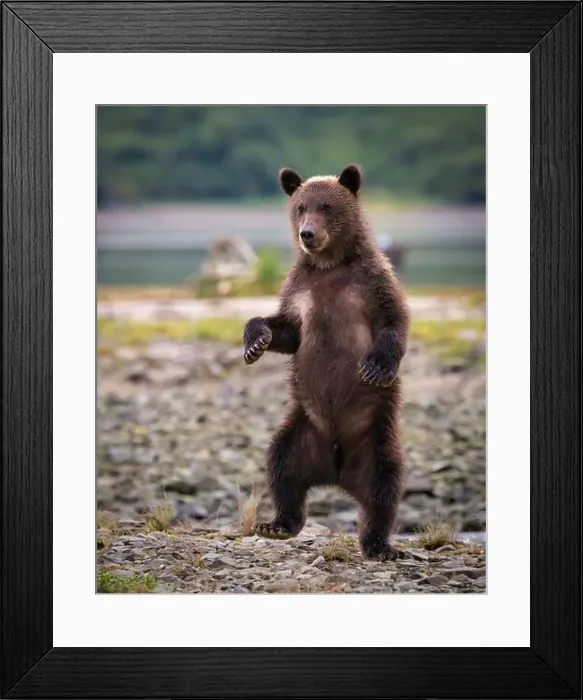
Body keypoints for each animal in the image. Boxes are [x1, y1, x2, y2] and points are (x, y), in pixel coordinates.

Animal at [243, 164, 410, 560]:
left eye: (327, 207)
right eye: (301, 207)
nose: (307, 234)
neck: (329, 264)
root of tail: (335, 472)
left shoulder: (371, 282)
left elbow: (393, 320)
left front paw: (375, 367)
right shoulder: (300, 290)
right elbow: (287, 331)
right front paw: (255, 342)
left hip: (376, 438)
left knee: (385, 485)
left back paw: (379, 545)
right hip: (303, 430)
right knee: (281, 463)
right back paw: (277, 524)